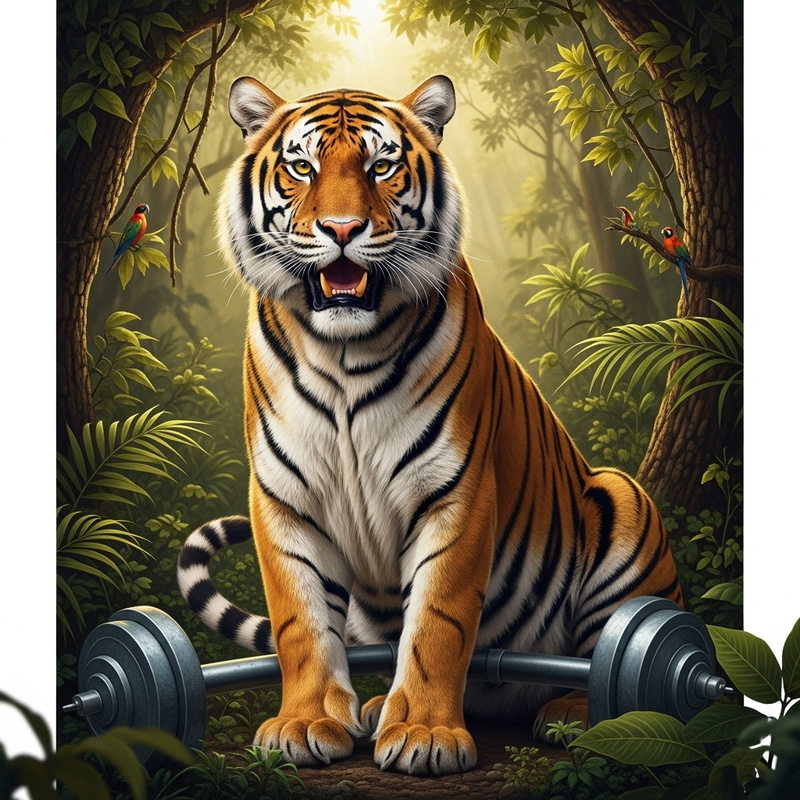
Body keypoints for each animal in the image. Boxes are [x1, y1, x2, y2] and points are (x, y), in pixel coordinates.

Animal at [177, 74, 682, 776]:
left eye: (380, 166)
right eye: (301, 168)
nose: (341, 228)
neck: (344, 353)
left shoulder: (456, 493)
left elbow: (437, 623)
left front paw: (424, 735)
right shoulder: (284, 497)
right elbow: (300, 621)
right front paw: (304, 723)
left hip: (622, 496)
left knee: (602, 655)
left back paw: (574, 715)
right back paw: (368, 708)